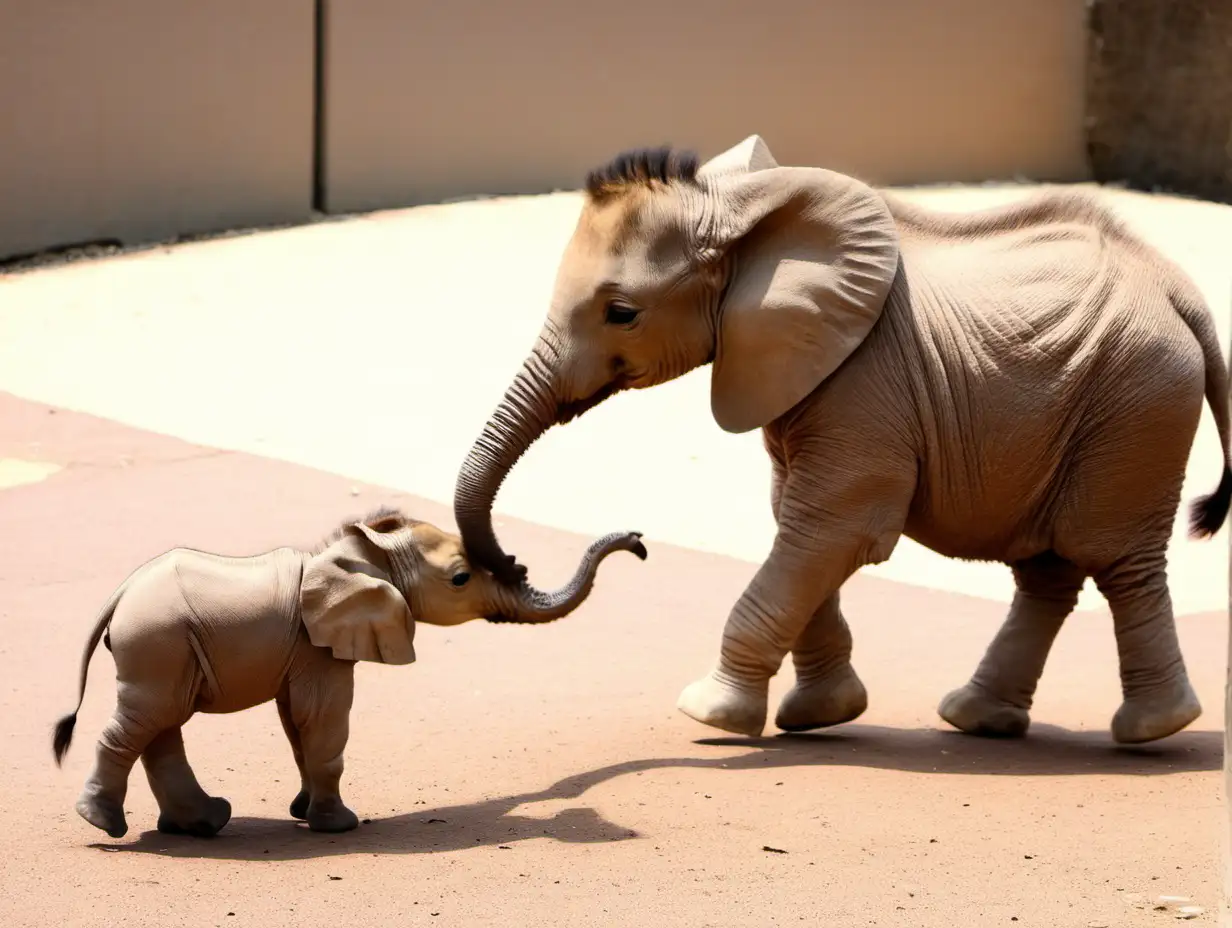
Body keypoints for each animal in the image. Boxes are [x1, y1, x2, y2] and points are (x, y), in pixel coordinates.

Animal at [52, 507, 645, 838]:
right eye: (460, 579)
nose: (639, 543)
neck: (365, 555)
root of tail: (119, 595)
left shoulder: (305, 648)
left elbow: (297, 726)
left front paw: (303, 812)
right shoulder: (318, 647)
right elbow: (324, 722)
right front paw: (341, 826)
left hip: (167, 648)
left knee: (161, 727)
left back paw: (201, 825)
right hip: (159, 642)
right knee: (146, 721)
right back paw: (105, 824)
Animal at [455, 133, 1232, 744]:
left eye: (622, 313)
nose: (515, 565)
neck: (745, 213)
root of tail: (1178, 287)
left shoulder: (864, 381)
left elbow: (834, 526)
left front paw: (708, 715)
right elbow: (797, 523)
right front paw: (824, 714)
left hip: (1138, 402)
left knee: (1116, 559)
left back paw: (1155, 729)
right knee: (1049, 573)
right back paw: (978, 719)